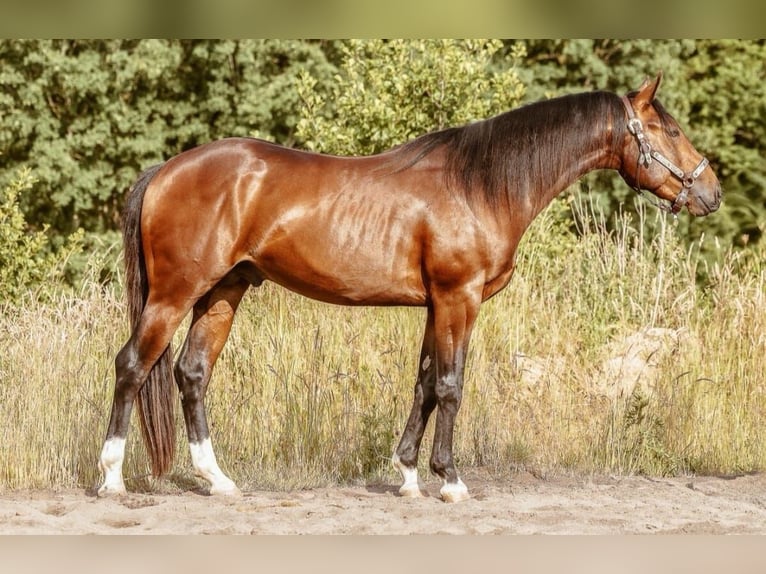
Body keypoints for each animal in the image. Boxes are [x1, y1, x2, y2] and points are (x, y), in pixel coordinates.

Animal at [97, 72, 721, 502]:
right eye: (668, 130)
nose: (709, 192)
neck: (480, 185)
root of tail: (166, 170)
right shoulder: (457, 298)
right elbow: (450, 385)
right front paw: (451, 480)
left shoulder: (434, 305)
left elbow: (423, 384)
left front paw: (408, 474)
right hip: (175, 293)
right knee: (132, 365)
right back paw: (111, 478)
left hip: (223, 292)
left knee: (192, 373)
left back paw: (218, 480)